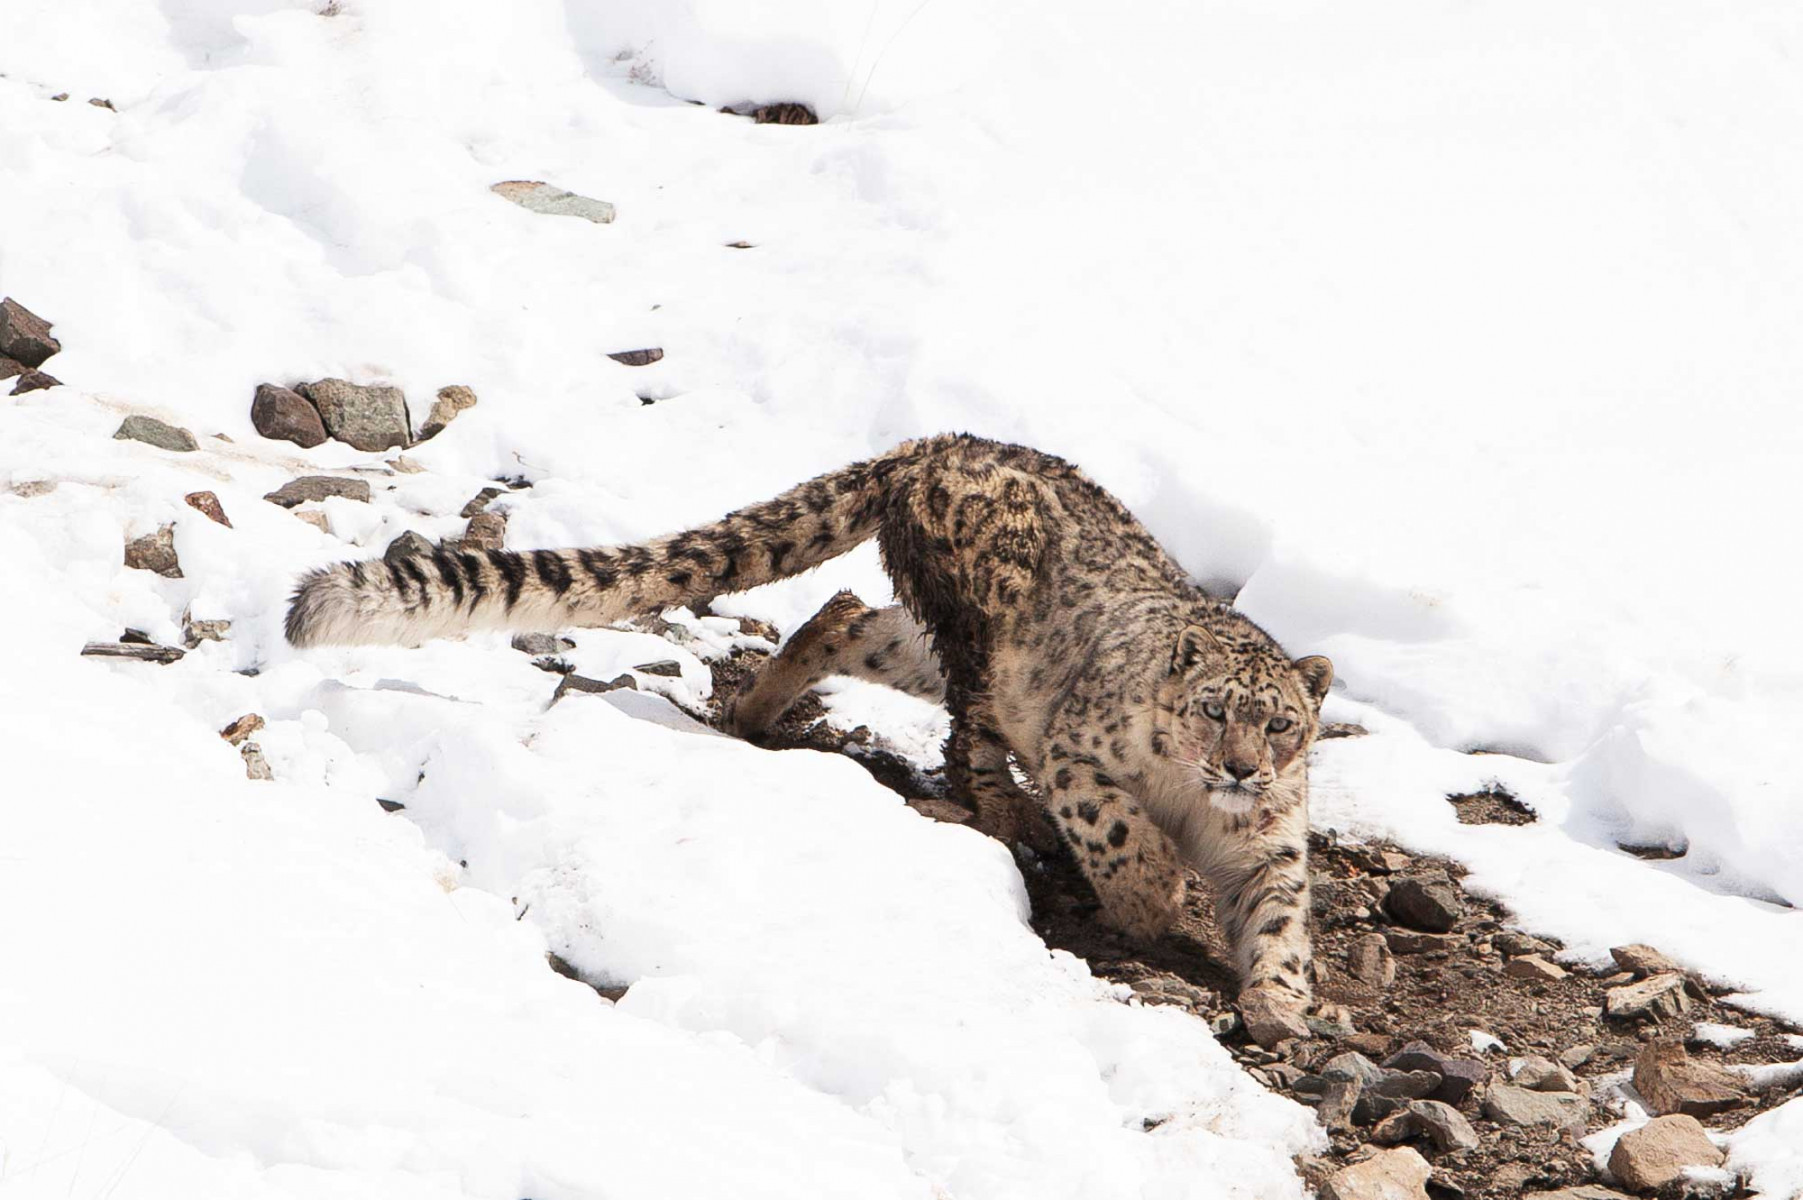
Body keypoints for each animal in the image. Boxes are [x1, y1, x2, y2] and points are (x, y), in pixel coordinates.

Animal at [292, 432, 1341, 1037]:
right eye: (1213, 709)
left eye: (1282, 725)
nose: (1239, 770)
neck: (1193, 802)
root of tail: (940, 439)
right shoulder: (1083, 755)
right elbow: (1120, 831)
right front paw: (1149, 898)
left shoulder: (1269, 841)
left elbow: (1280, 910)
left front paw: (1282, 1005)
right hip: (983, 626)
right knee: (969, 732)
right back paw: (1001, 812)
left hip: (921, 633)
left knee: (845, 618)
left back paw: (759, 709)